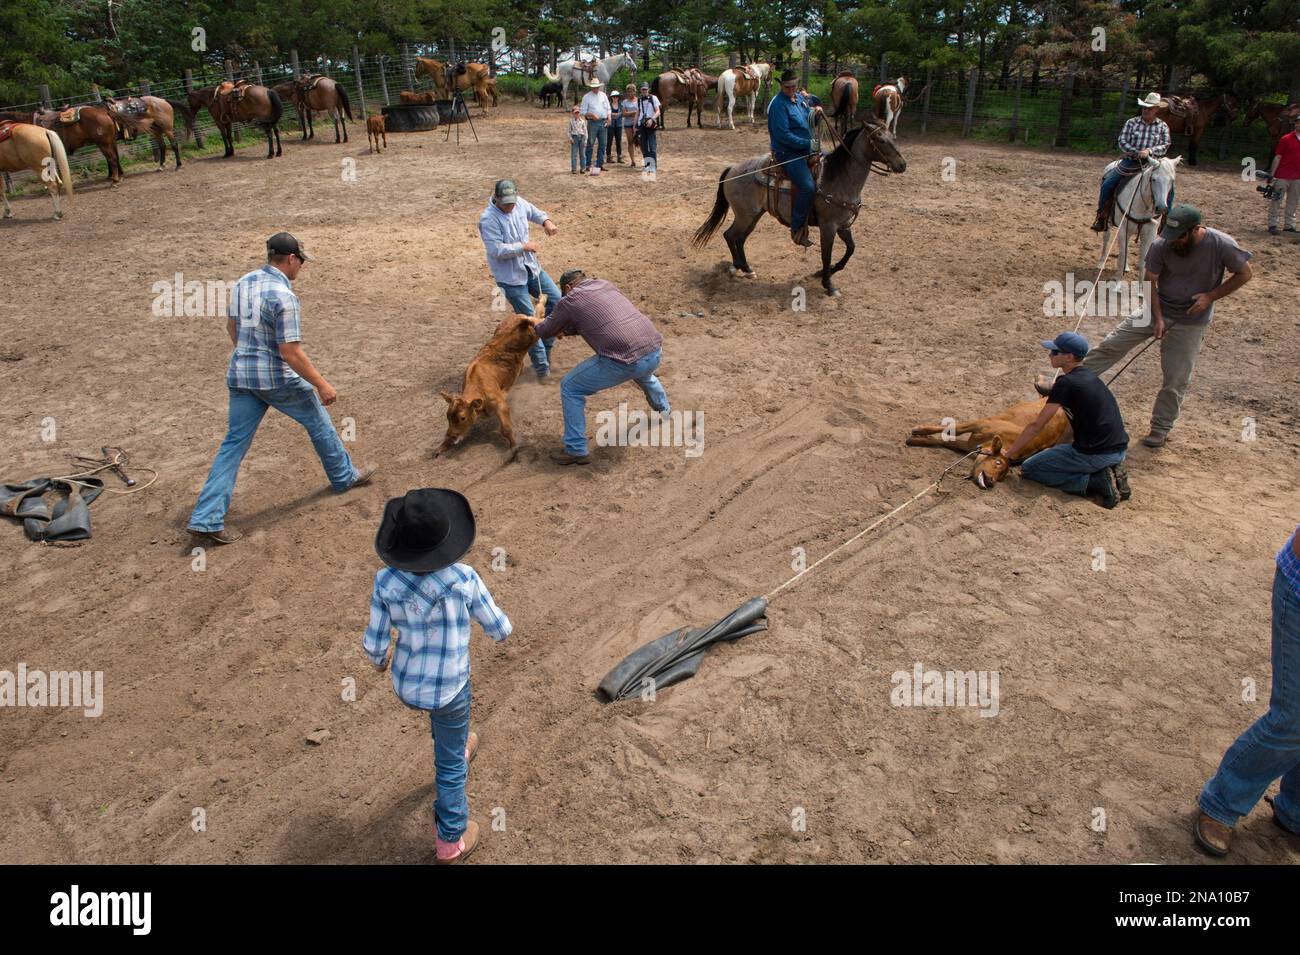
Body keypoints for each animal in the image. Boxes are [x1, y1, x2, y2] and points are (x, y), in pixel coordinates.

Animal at [439, 291, 546, 454]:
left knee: (540, 315)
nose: (452, 435)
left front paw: (514, 448)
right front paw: (442, 446)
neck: (478, 387)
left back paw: (544, 298)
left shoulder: (500, 404)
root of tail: (519, 321)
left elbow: (506, 429)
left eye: (463, 418)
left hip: (535, 332)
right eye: (448, 417)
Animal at [691, 120, 904, 298]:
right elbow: (826, 255)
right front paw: (829, 284)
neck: (839, 178)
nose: (902, 165)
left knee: (739, 238)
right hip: (745, 215)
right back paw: (738, 266)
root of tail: (732, 169)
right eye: (881, 140)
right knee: (729, 235)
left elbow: (850, 249)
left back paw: (746, 268)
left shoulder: (843, 225)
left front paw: (822, 273)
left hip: (754, 215)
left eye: (893, 138)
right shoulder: (828, 226)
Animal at [904, 394, 1066, 488]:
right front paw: (919, 430)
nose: (990, 481)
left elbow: (947, 441)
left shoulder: (969, 446)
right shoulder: (981, 423)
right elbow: (954, 428)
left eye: (1001, 477)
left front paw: (917, 440)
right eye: (998, 462)